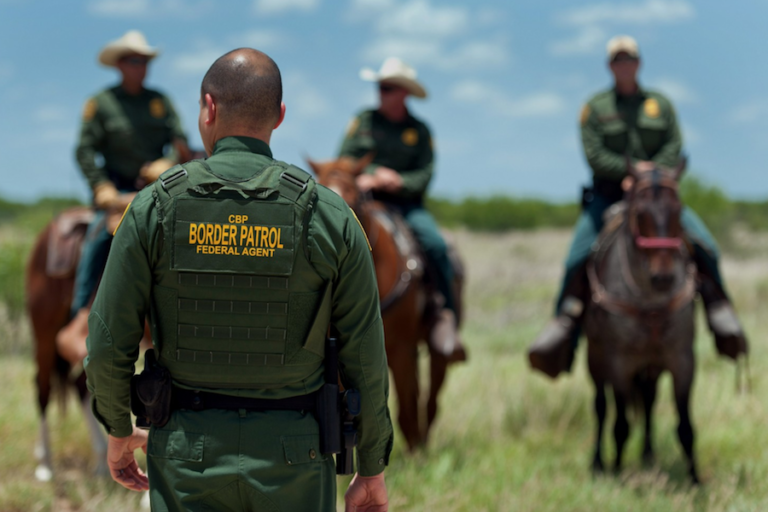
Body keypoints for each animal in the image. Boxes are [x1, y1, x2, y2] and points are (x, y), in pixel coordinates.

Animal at [584, 159, 700, 480]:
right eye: (639, 213)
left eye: (678, 211)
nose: (662, 277)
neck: (650, 303)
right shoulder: (619, 365)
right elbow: (621, 425)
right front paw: (617, 472)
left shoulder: (682, 361)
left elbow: (686, 427)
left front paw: (695, 480)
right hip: (596, 360)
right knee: (600, 407)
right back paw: (598, 463)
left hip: (651, 366)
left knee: (647, 401)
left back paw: (648, 455)